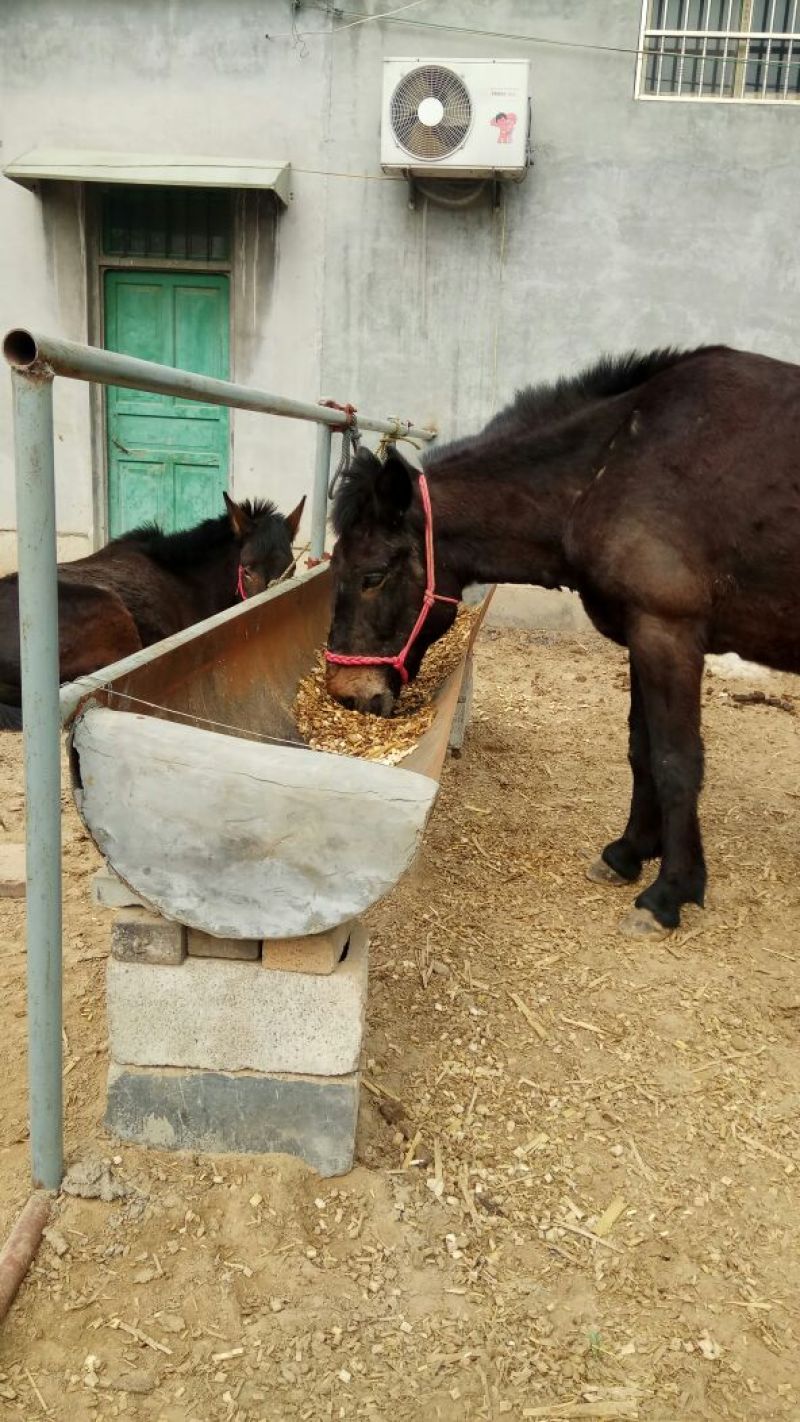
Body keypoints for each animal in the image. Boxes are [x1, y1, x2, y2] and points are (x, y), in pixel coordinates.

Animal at [324, 345, 800, 937]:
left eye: (372, 575)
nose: (346, 693)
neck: (614, 463)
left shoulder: (668, 633)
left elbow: (676, 761)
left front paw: (670, 892)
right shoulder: (641, 636)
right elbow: (641, 748)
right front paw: (627, 854)